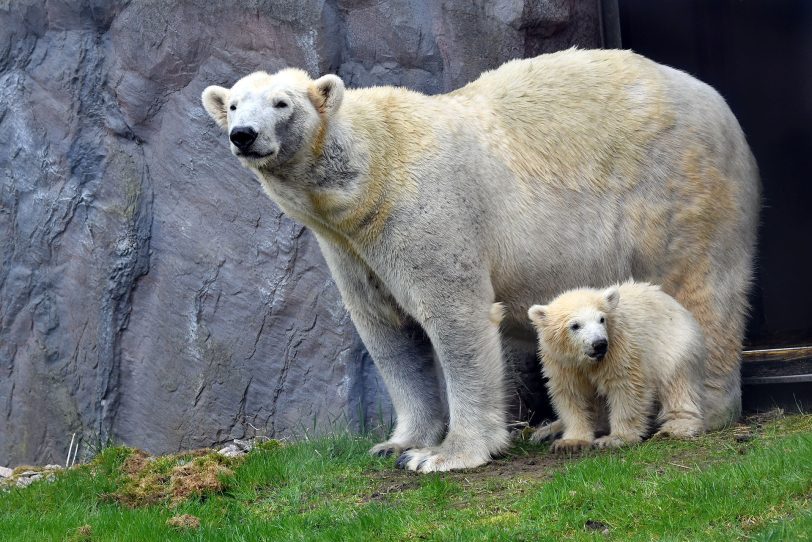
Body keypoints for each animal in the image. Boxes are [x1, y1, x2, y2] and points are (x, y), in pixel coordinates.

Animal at [203, 49, 760, 474]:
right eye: (232, 104)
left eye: (281, 102)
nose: (243, 134)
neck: (372, 173)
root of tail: (718, 103)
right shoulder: (349, 247)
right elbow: (387, 332)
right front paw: (398, 442)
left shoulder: (426, 209)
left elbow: (457, 320)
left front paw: (443, 455)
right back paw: (555, 426)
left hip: (681, 190)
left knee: (700, 288)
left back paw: (701, 410)